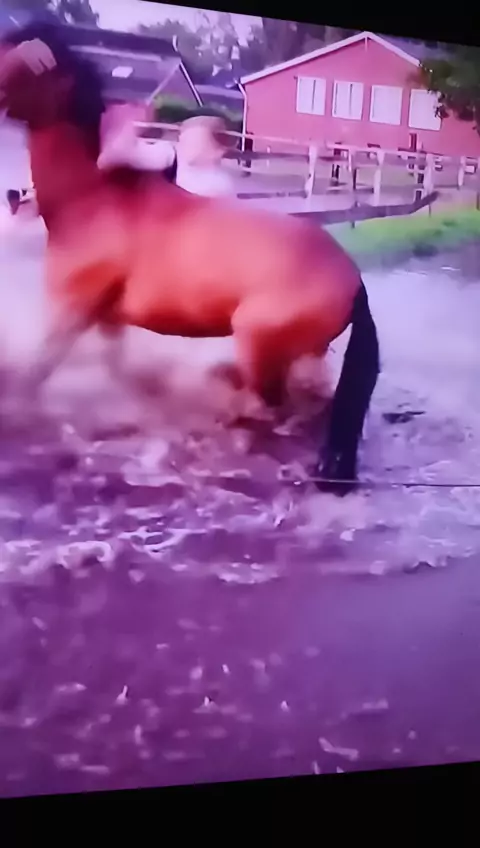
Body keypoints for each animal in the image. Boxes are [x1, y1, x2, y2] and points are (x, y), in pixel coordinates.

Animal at [0, 21, 380, 494]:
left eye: (16, 60)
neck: (91, 199)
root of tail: (353, 278)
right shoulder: (106, 319)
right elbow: (119, 374)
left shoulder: (71, 311)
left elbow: (34, 376)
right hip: (304, 353)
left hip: (257, 344)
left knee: (274, 408)